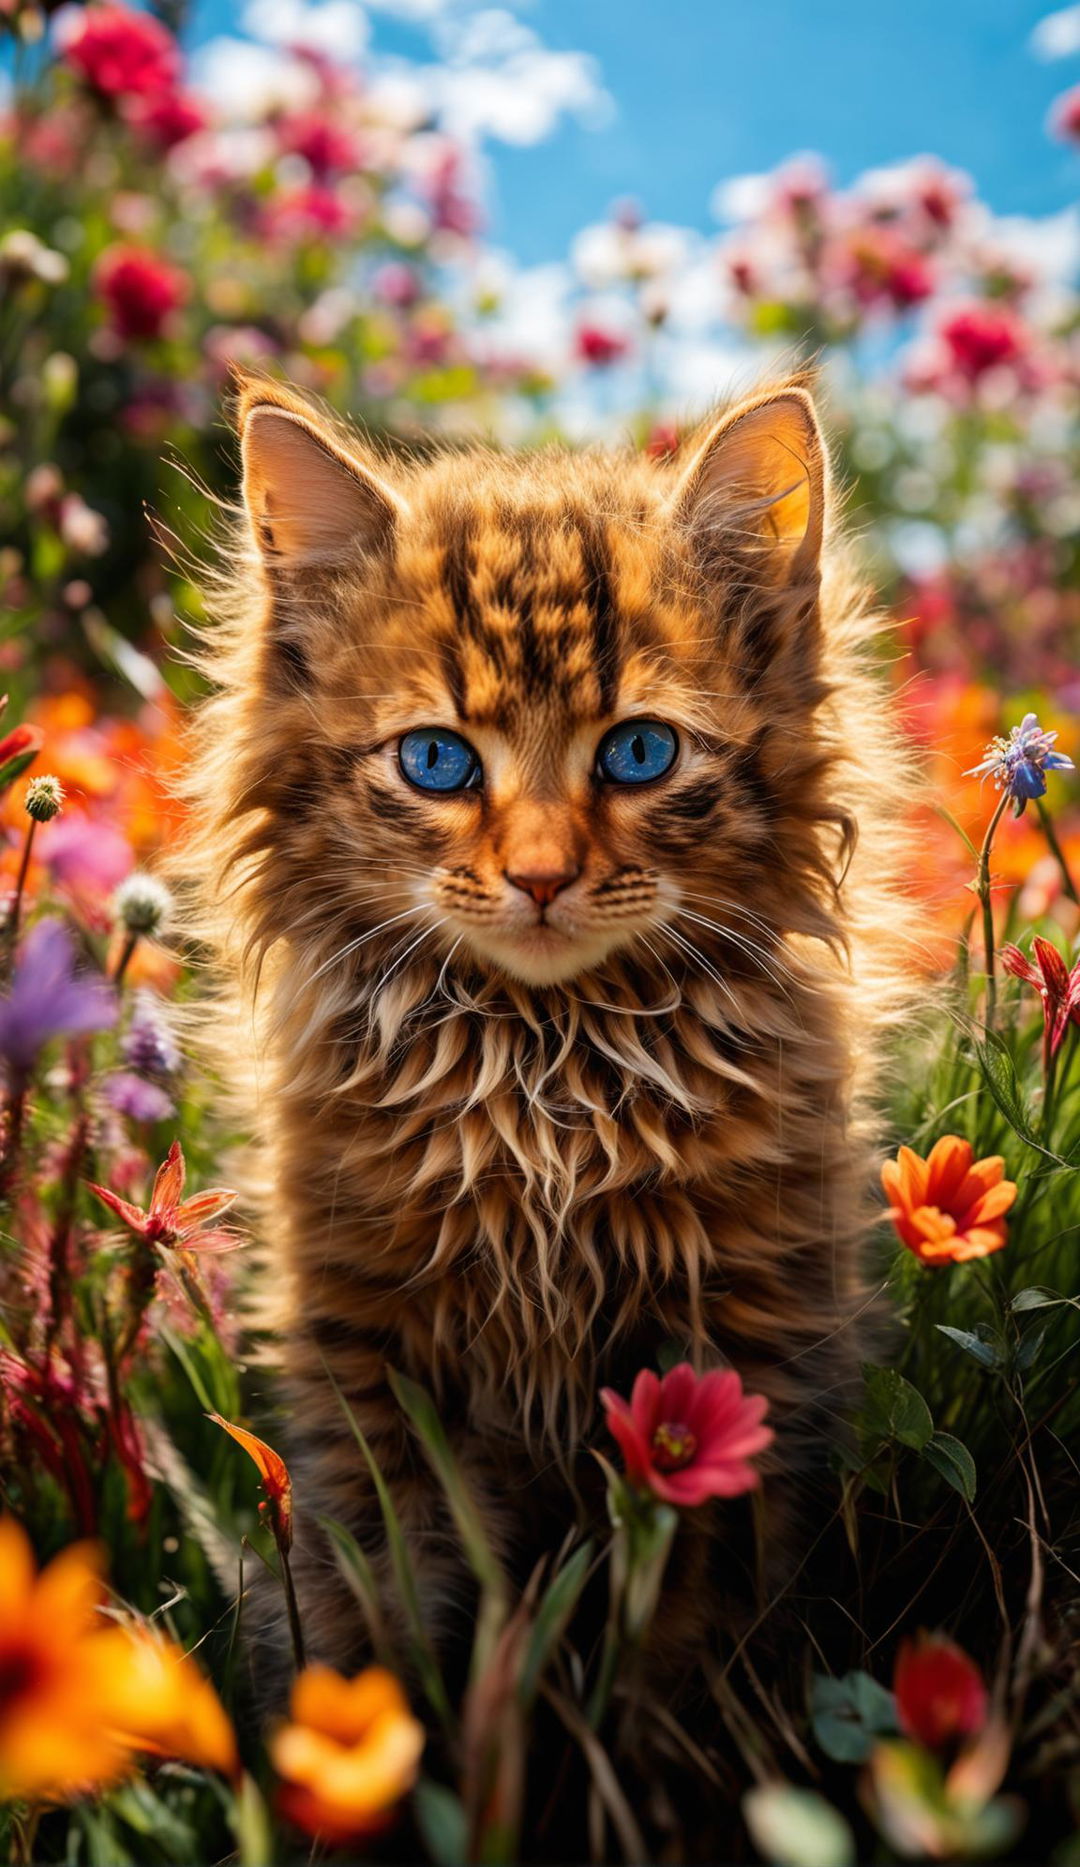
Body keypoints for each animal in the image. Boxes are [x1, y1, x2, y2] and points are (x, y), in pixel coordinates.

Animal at [184, 371, 908, 1687]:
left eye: (639, 751)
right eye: (435, 760)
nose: (538, 876)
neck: (545, 1071)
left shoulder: (731, 1352)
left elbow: (682, 1636)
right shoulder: (373, 1362)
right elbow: (384, 1612)